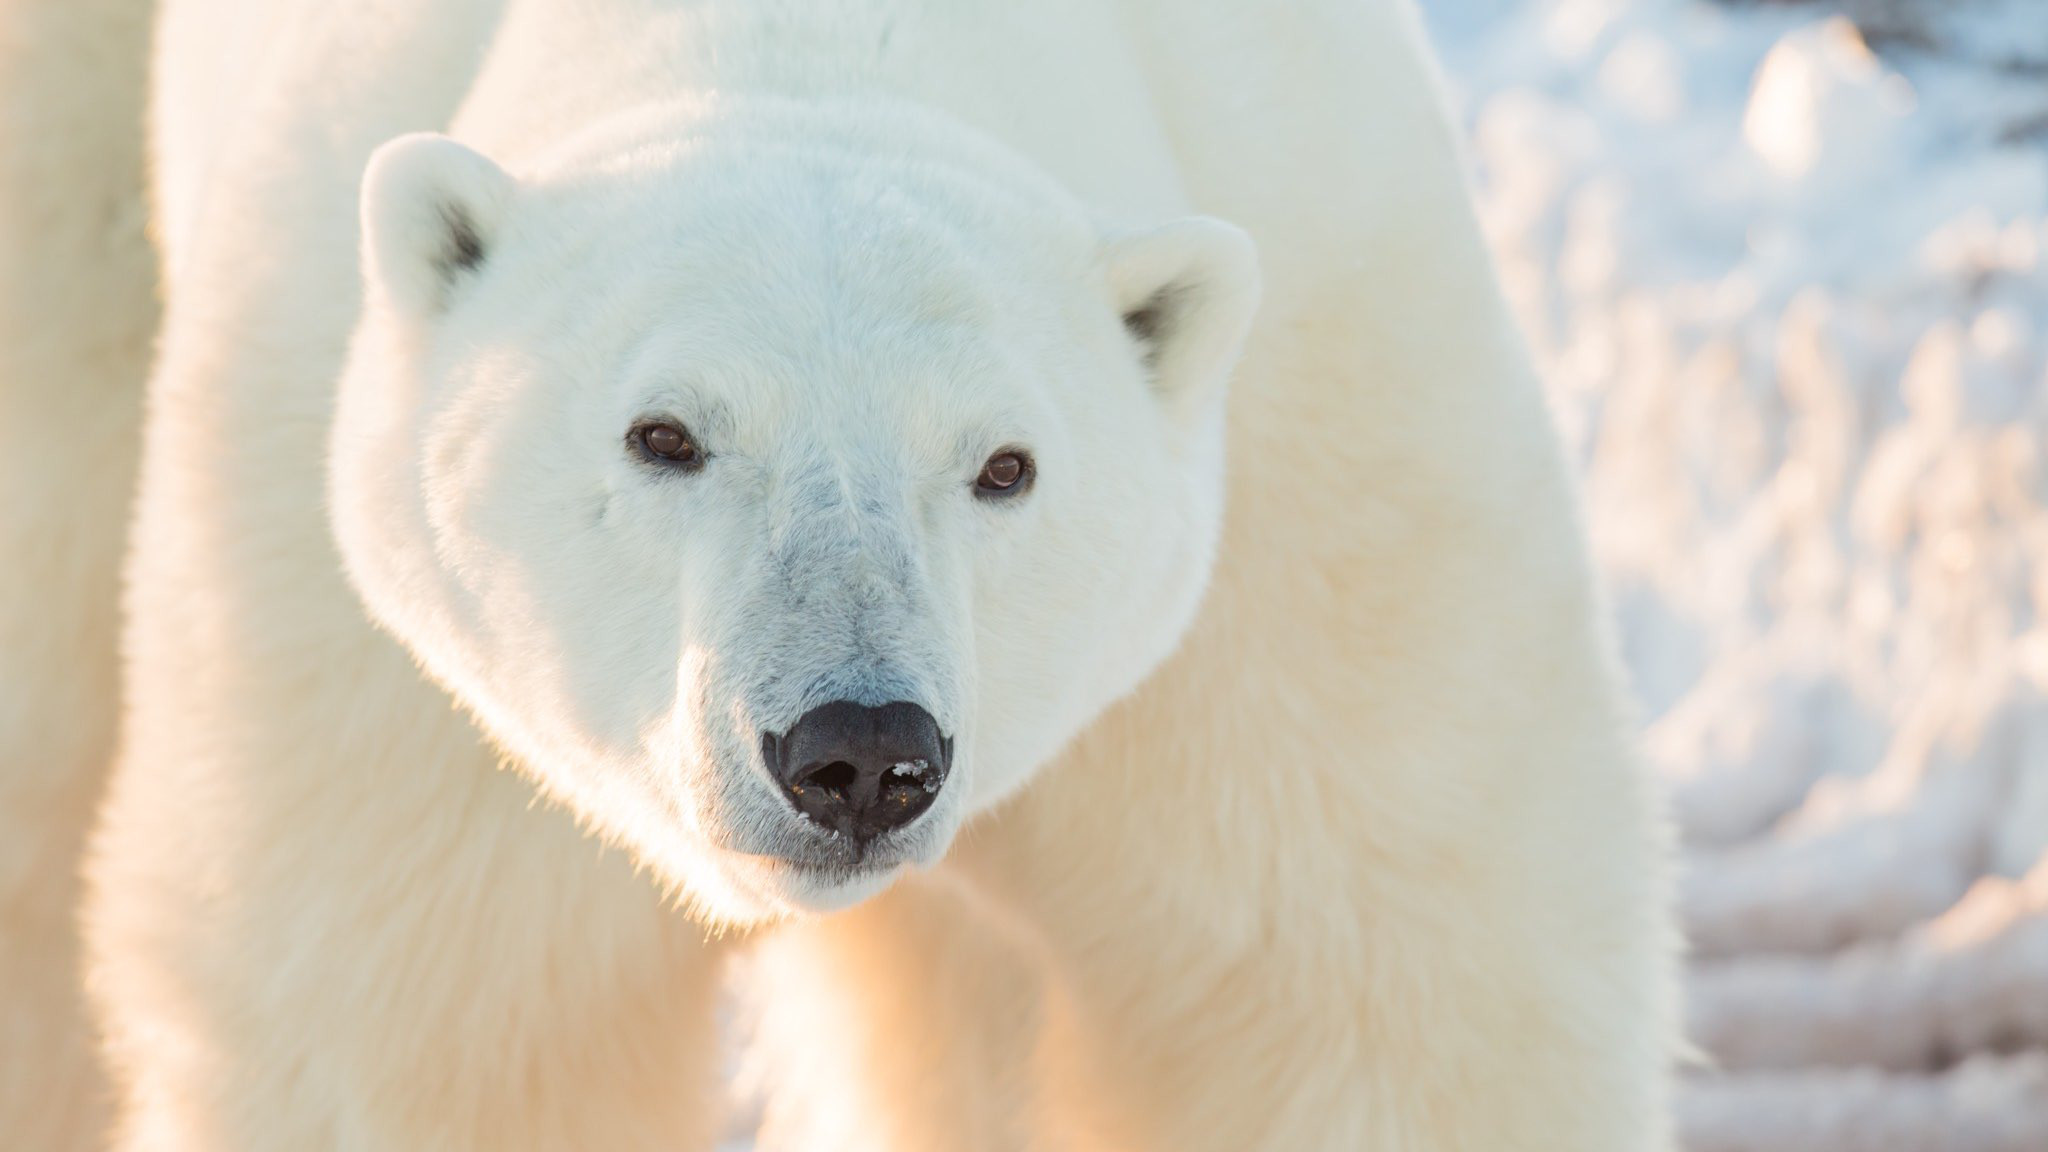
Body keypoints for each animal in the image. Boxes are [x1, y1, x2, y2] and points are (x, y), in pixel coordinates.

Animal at [84, 0, 1678, 1149]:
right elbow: (415, 1023)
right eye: (663, 434)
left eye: (1004, 465)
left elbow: (1356, 981)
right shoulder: (367, 640)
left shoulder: (1324, 439)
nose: (857, 752)